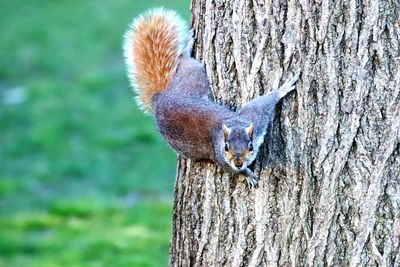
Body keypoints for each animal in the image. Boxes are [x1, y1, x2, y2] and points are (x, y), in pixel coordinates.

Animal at [123, 7, 302, 188]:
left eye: (250, 146)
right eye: (226, 147)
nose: (238, 163)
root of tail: (160, 99)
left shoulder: (257, 121)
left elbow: (263, 103)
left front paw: (284, 87)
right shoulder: (224, 153)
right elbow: (232, 167)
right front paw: (247, 174)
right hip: (193, 79)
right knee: (183, 59)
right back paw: (187, 46)